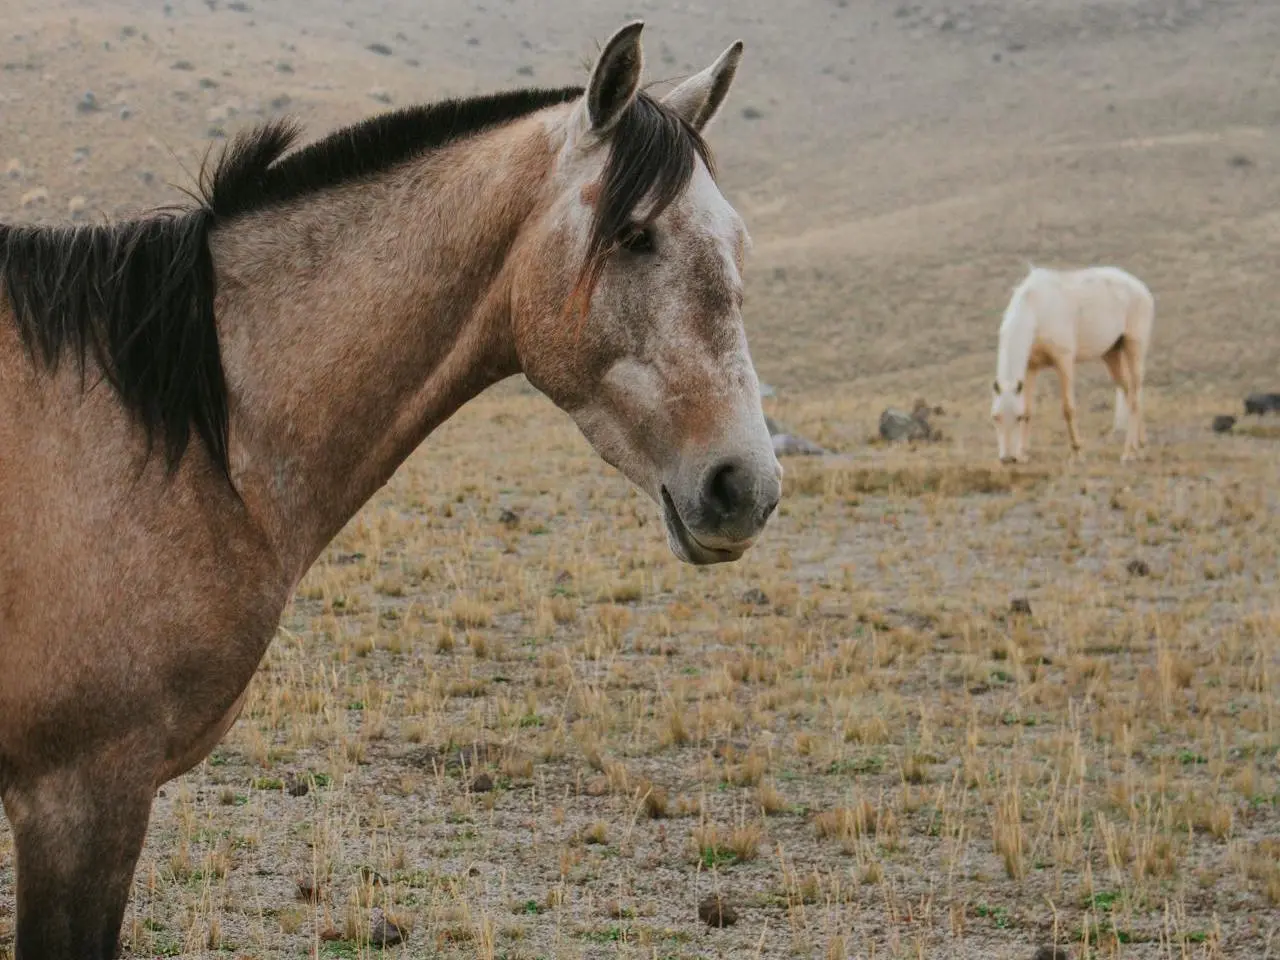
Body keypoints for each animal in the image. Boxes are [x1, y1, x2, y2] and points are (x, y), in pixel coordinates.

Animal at [988, 264, 1162, 463]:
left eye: (1017, 418)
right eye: (995, 417)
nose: (1008, 459)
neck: (1035, 309)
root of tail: (1140, 287)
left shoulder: (1064, 361)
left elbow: (1068, 408)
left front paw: (1077, 452)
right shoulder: (1030, 367)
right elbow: (1029, 409)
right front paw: (1023, 453)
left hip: (1134, 347)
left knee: (1134, 397)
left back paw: (1128, 453)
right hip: (1111, 354)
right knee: (1128, 391)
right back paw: (1141, 444)